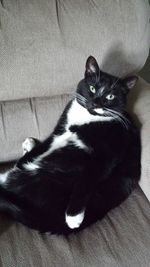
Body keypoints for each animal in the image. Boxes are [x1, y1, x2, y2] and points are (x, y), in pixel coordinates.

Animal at [0, 56, 141, 234]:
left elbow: (86, 181)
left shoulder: (106, 155)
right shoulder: (58, 131)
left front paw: (74, 217)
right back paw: (28, 146)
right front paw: (26, 157)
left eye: (110, 96)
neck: (87, 117)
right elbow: (43, 146)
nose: (95, 103)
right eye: (92, 88)